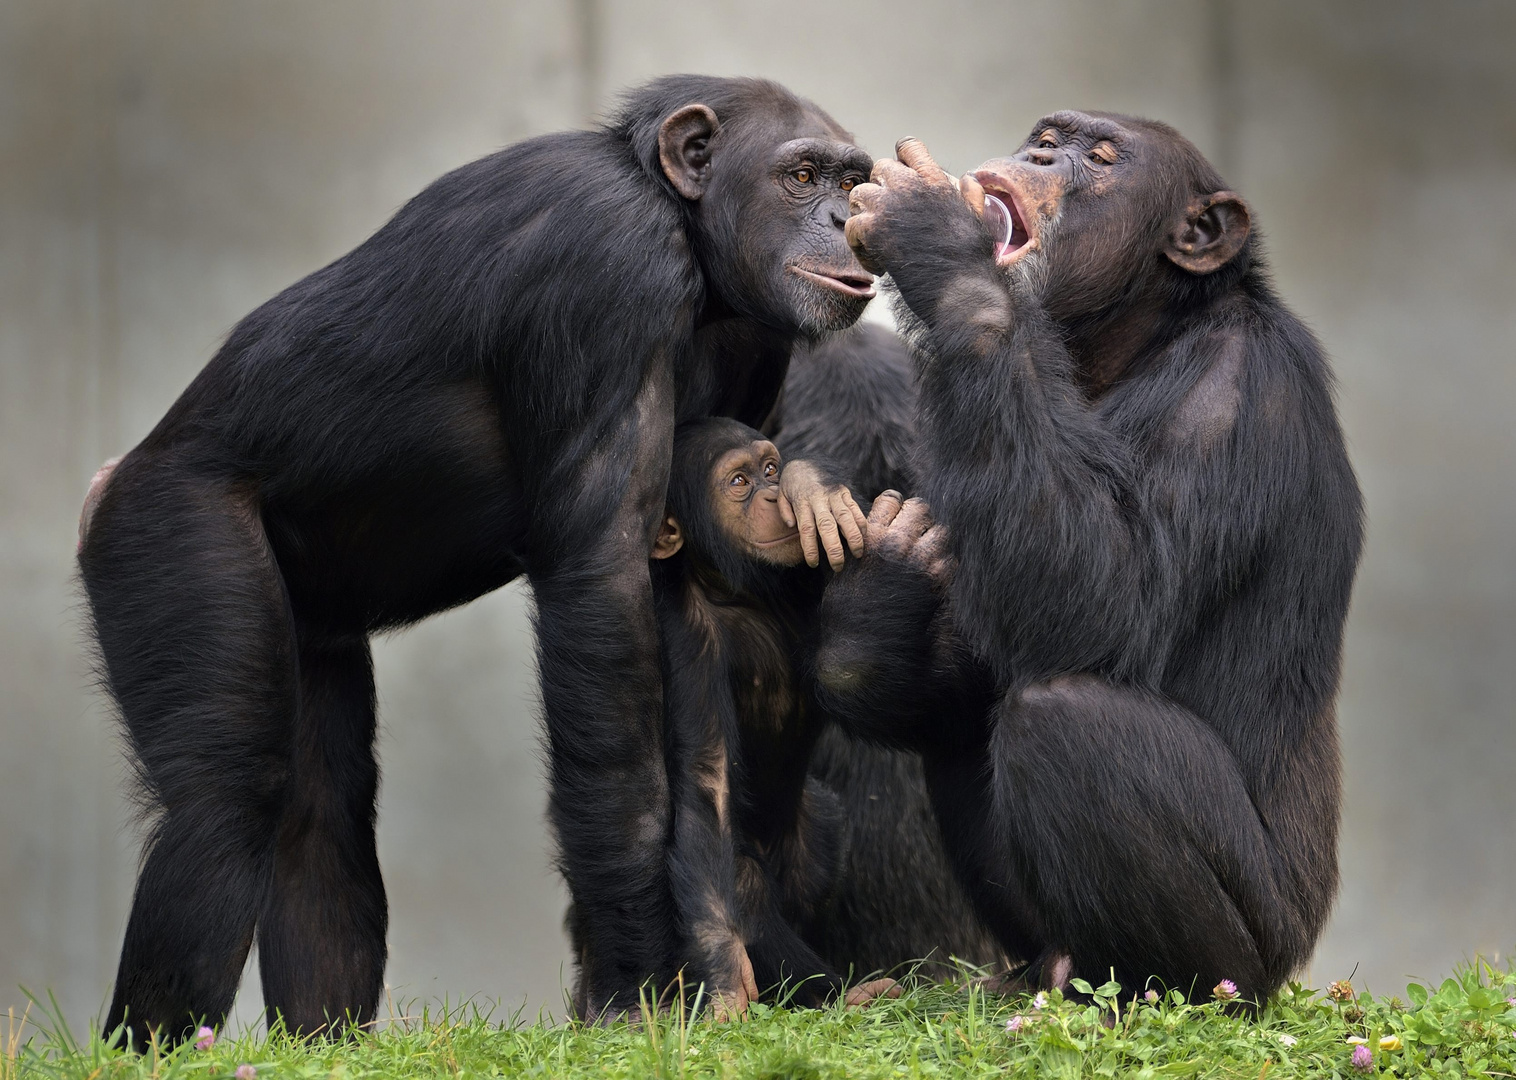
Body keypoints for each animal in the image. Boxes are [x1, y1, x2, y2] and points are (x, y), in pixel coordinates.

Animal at [651, 418, 897, 1019]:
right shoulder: (686, 642)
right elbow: (706, 781)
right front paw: (721, 974)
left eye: (767, 468)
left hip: (816, 841)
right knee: (744, 882)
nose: (769, 494)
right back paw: (844, 996)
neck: (740, 593)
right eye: (738, 482)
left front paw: (811, 489)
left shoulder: (802, 573)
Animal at [824, 113, 1370, 1007]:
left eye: (1101, 155)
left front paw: (937, 239)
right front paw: (889, 577)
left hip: (1260, 951)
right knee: (959, 726)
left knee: (1068, 721)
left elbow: (1108, 601)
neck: (1138, 339)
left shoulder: (1231, 400)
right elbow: (957, 673)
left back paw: (1147, 993)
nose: (1042, 155)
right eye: (1044, 137)